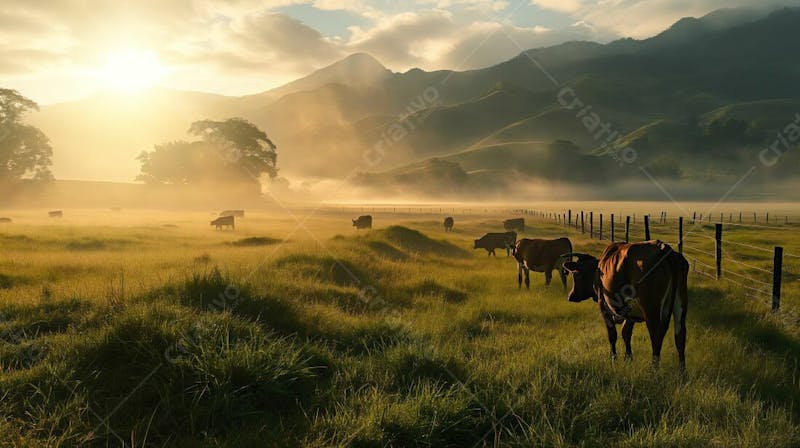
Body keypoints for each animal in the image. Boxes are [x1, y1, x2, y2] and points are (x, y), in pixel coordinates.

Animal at [560, 240, 692, 372]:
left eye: (575, 275)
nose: (570, 296)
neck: (598, 271)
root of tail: (664, 248)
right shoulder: (630, 311)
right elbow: (626, 333)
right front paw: (628, 359)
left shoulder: (603, 305)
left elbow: (612, 335)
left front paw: (614, 359)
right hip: (680, 303)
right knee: (680, 336)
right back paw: (682, 372)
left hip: (651, 309)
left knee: (655, 336)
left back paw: (654, 369)